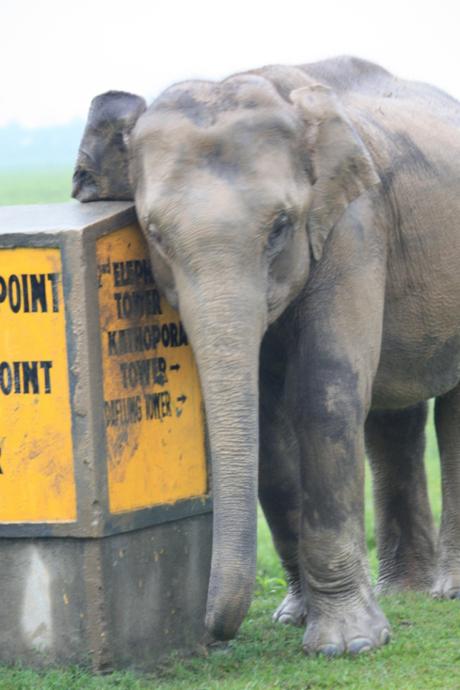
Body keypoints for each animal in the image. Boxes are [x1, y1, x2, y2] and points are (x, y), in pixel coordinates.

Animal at [72, 56, 460, 656]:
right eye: (153, 234)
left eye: (280, 226)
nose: (211, 632)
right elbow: (266, 421)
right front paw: (295, 618)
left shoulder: (353, 226)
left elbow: (325, 394)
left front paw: (348, 645)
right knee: (395, 418)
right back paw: (405, 593)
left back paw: (444, 592)